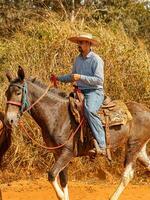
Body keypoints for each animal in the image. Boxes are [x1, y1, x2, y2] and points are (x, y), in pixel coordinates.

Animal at [4, 67, 150, 200]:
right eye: (6, 93)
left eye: (18, 92)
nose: (9, 120)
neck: (57, 115)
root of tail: (146, 110)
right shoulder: (57, 153)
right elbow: (63, 180)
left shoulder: (67, 153)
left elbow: (52, 175)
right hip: (140, 148)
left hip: (133, 145)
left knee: (127, 175)